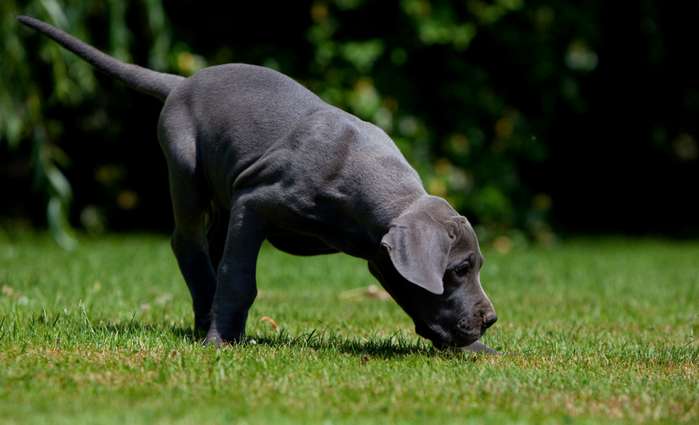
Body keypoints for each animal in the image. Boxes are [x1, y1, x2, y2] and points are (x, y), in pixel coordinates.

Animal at [20, 14, 498, 350]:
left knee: (210, 251)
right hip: (186, 170)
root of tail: (183, 80)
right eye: (458, 269)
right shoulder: (256, 201)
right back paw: (210, 322)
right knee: (188, 242)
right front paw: (221, 341)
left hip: (221, 201)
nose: (490, 319)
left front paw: (475, 349)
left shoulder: (377, 254)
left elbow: (415, 295)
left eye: (475, 267)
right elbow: (238, 276)